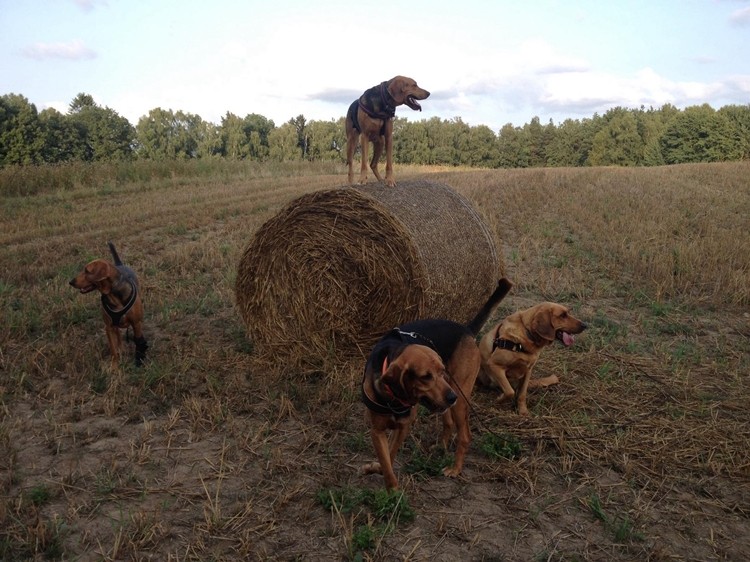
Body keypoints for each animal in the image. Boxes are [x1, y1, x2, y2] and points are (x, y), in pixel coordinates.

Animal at [362, 278, 516, 488]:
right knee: (448, 422)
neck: (393, 397)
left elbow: (390, 455)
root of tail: (466, 329)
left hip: (459, 398)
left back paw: (455, 469)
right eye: (425, 376)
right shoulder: (377, 431)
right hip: (447, 400)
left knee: (465, 436)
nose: (452, 396)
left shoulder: (403, 426)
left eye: (441, 370)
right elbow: (385, 460)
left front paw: (390, 487)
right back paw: (442, 446)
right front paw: (380, 472)